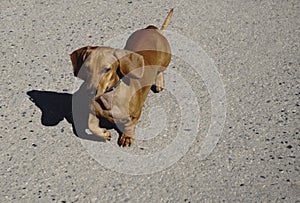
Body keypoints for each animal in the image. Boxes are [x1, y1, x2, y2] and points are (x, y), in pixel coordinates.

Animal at [70, 8, 173, 147]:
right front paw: (104, 133)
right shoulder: (92, 112)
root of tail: (154, 29)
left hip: (165, 60)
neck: (109, 97)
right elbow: (91, 126)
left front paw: (127, 137)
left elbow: (130, 125)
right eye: (86, 68)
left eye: (107, 69)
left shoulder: (135, 114)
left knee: (160, 71)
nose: (90, 92)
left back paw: (159, 83)